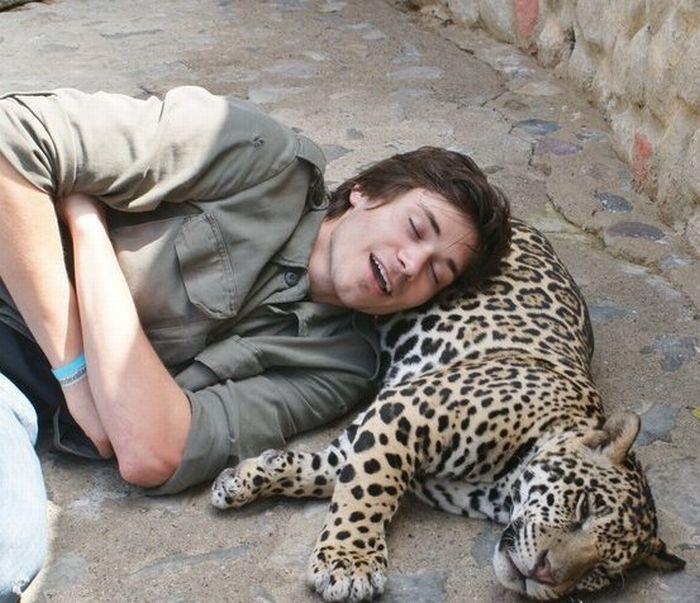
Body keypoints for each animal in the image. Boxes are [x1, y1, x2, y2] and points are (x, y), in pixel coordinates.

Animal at [211, 219, 685, 601]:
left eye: (600, 572)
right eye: (584, 508)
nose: (545, 574)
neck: (503, 486)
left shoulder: (368, 435)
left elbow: (325, 473)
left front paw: (249, 477)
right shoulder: (404, 414)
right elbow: (369, 491)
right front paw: (350, 562)